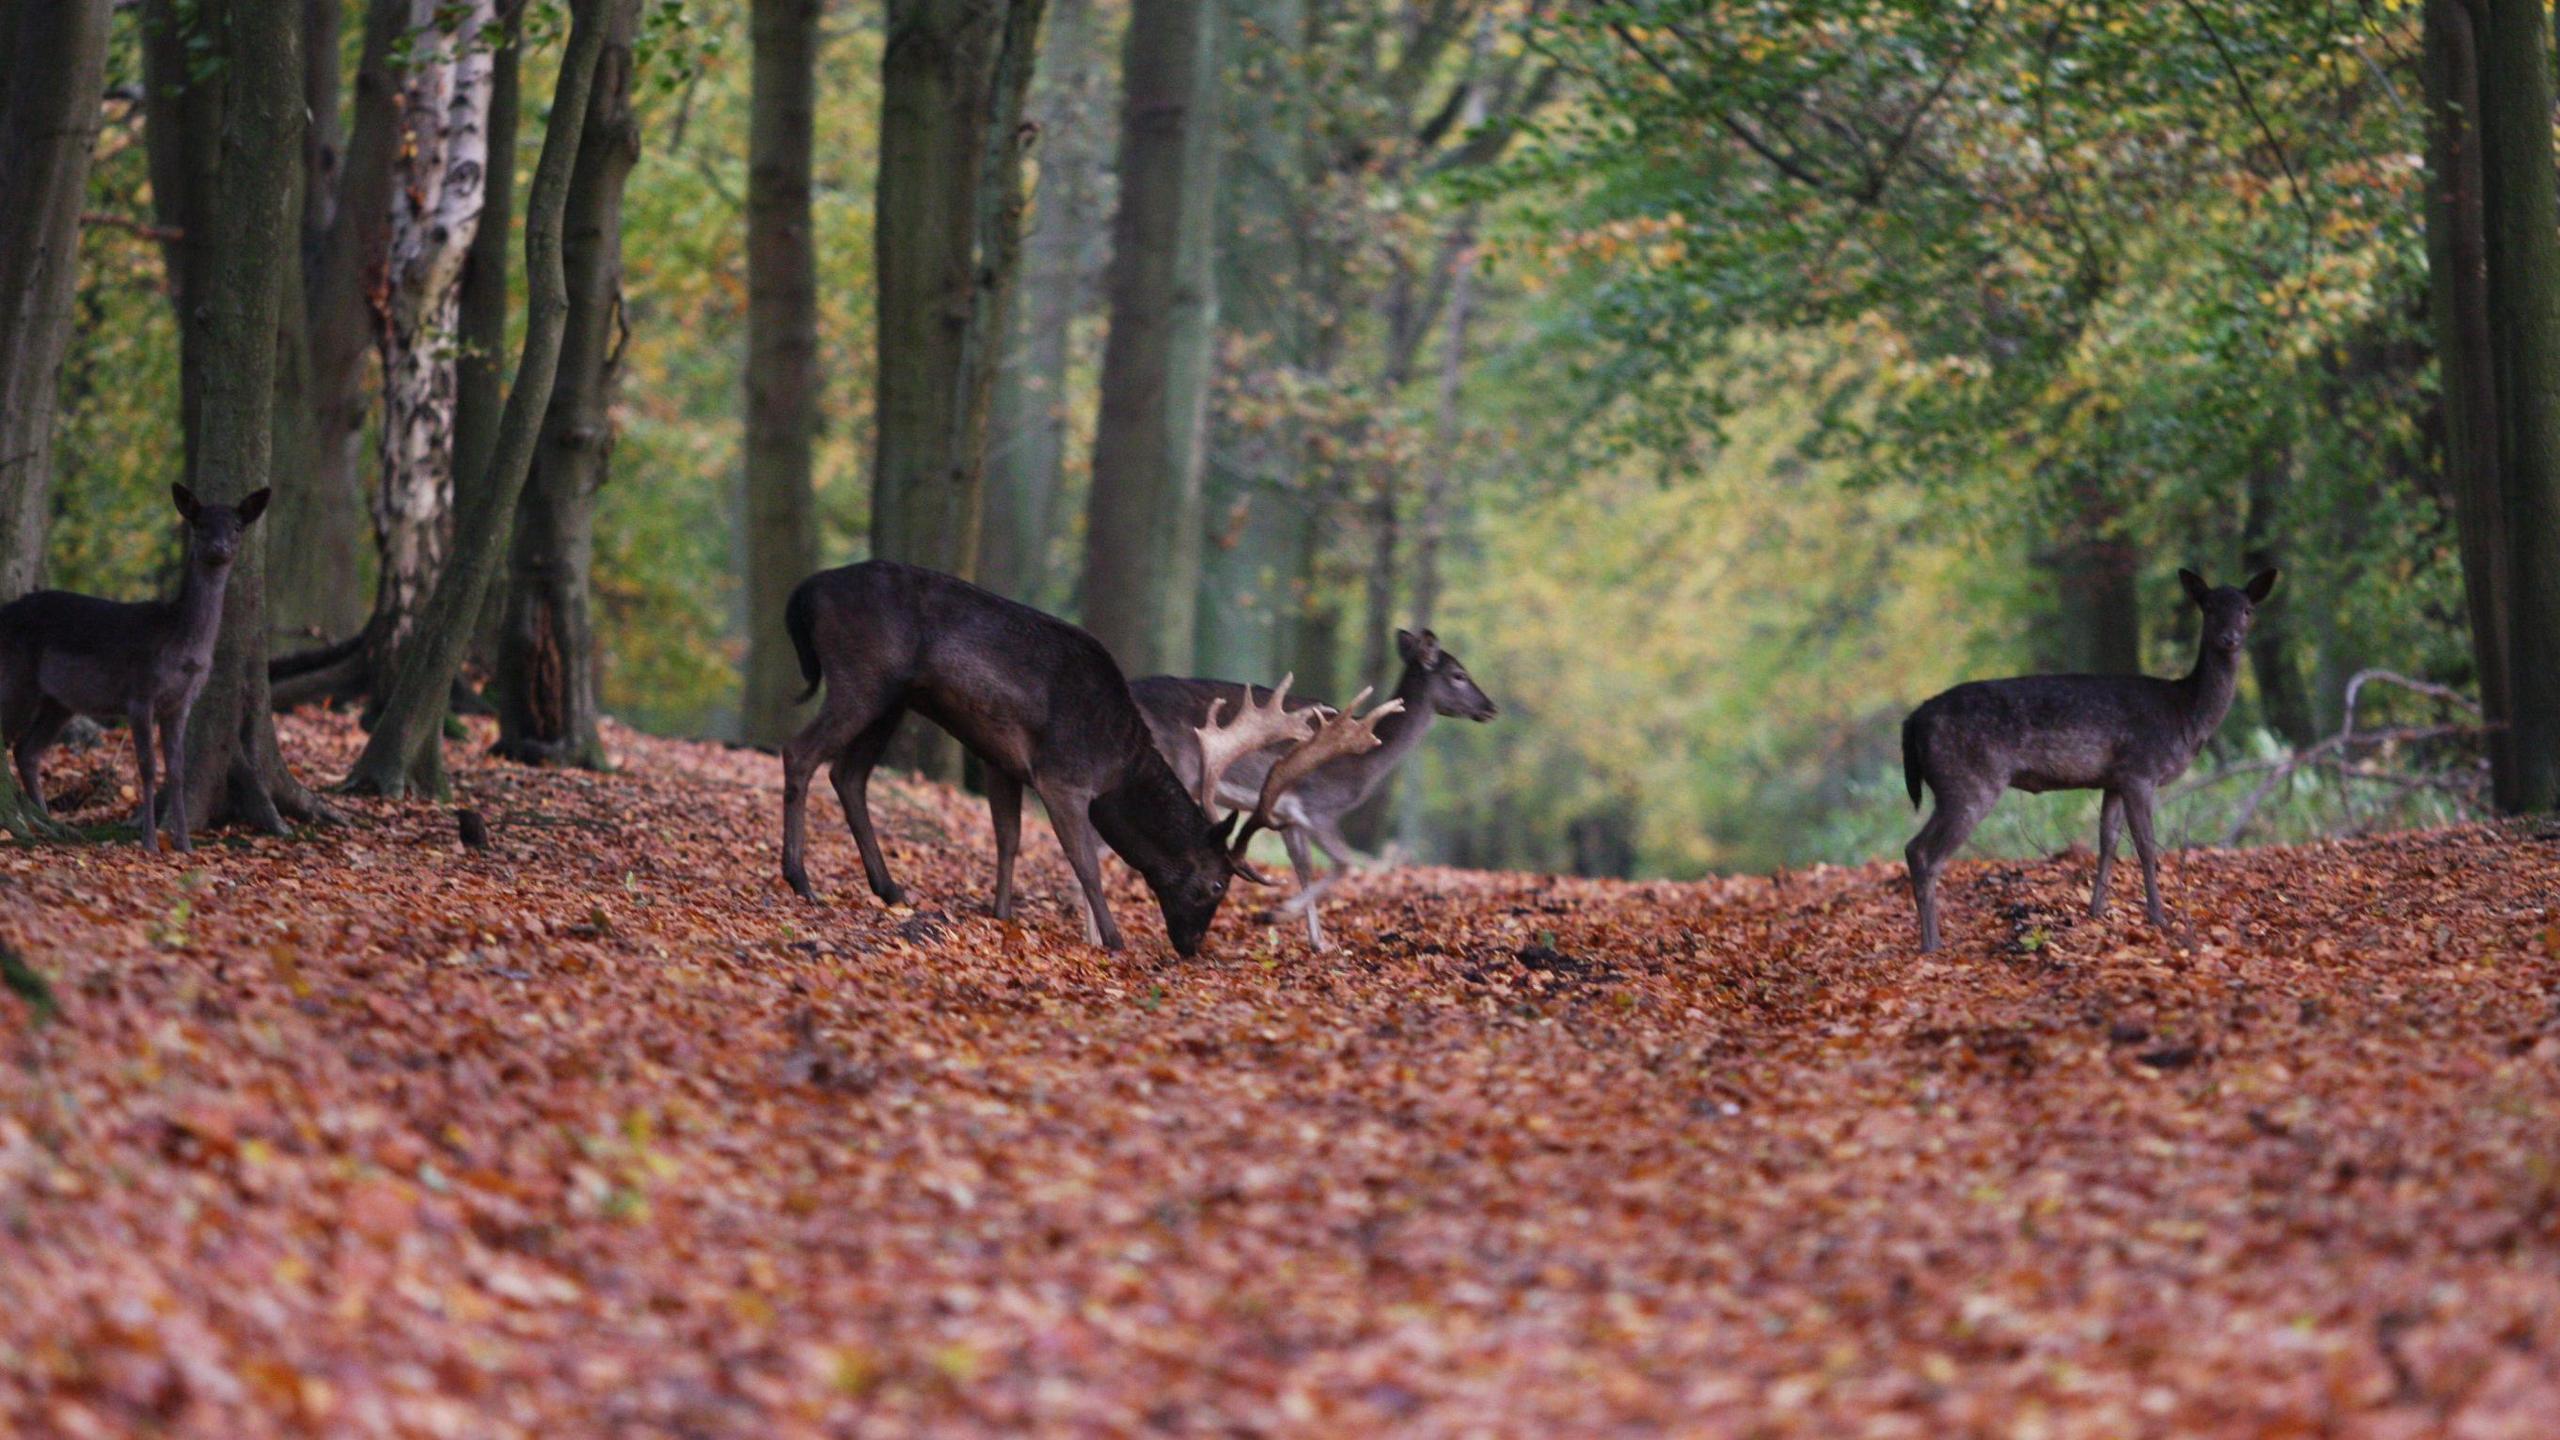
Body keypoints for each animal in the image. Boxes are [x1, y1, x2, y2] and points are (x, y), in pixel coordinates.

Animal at [0, 481, 270, 845]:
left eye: (237, 526)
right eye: (199, 524)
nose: (219, 546)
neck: (182, 647)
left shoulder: (181, 702)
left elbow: (178, 769)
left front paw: (184, 844)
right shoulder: (140, 692)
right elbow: (148, 765)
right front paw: (151, 843)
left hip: (59, 701)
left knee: (26, 750)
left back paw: (49, 823)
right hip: (17, 678)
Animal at [773, 561, 1402, 953]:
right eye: (1216, 886)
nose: (1192, 947)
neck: (1117, 762)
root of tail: (804, 592)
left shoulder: (1002, 762)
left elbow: (1009, 840)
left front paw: (1001, 914)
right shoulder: (1064, 776)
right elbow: (1086, 862)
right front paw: (1114, 938)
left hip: (892, 700)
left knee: (849, 774)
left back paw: (890, 888)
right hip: (862, 677)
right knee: (799, 752)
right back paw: (801, 879)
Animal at [1126, 630, 1495, 948]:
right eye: (1459, 674)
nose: (1491, 707)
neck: (1366, 764)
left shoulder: (1285, 814)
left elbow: (1302, 866)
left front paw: (1318, 942)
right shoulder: (1319, 808)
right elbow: (1344, 863)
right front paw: (1276, 914)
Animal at [1904, 566, 2283, 948]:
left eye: (2247, 609)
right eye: (2208, 607)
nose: (2229, 638)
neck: (2185, 714)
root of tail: (1914, 720)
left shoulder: (2113, 780)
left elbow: (2107, 842)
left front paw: (2096, 912)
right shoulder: (2140, 769)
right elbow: (2146, 845)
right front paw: (2158, 917)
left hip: (1954, 784)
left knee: (1913, 849)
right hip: (1969, 780)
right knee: (1923, 852)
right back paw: (1932, 943)